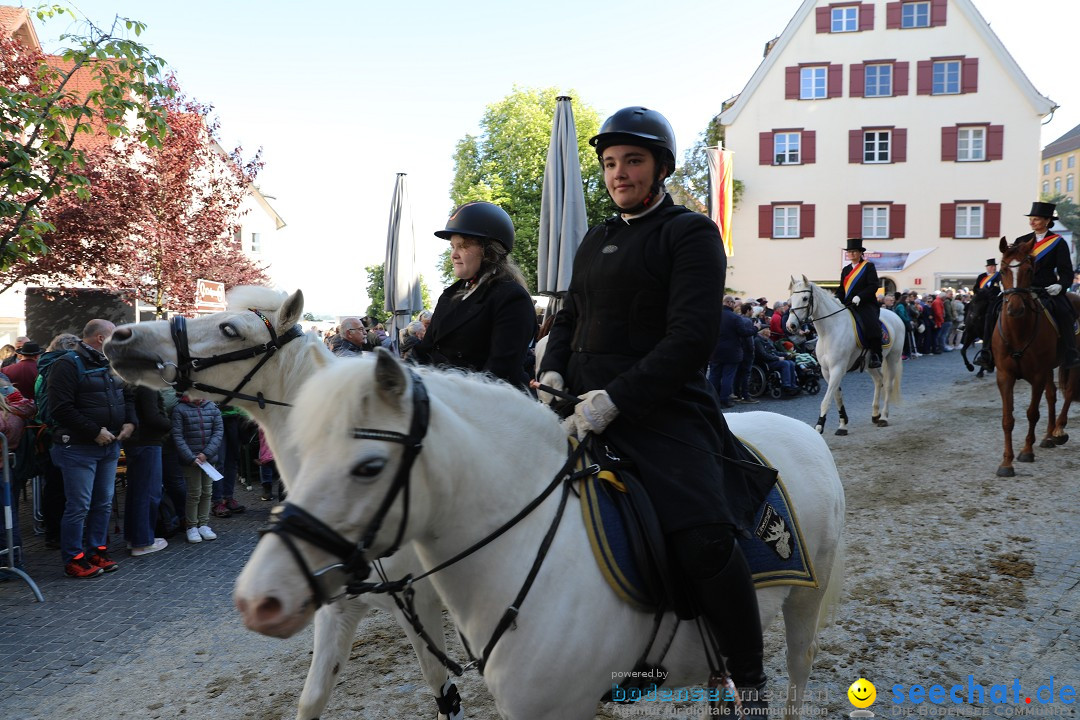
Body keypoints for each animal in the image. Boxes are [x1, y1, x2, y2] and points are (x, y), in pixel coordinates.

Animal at [103, 289, 466, 720]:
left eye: (230, 329)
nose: (120, 336)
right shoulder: (336, 608)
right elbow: (311, 700)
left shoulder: (419, 603)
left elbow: (443, 689)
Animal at [232, 349, 846, 720]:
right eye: (301, 453)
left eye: (368, 467)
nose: (259, 599)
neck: (525, 546)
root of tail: (801, 432)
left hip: (804, 600)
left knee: (795, 670)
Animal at [786, 274, 902, 433]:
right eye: (791, 298)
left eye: (804, 298)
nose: (790, 326)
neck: (829, 331)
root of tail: (894, 315)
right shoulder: (826, 371)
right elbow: (837, 396)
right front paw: (843, 423)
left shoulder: (837, 368)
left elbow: (826, 400)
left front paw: (819, 426)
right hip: (869, 364)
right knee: (879, 380)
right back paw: (875, 414)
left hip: (893, 358)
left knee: (888, 385)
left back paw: (884, 417)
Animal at [993, 234, 1080, 474]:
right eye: (1003, 269)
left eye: (1029, 270)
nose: (1015, 309)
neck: (1017, 331)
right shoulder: (1005, 375)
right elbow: (1007, 419)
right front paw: (1006, 463)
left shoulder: (1038, 374)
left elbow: (1032, 413)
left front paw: (1026, 452)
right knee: (1052, 395)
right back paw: (1049, 436)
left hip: (1072, 363)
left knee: (1068, 392)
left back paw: (1058, 431)